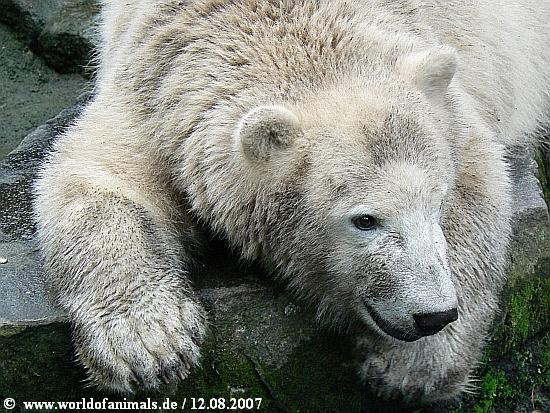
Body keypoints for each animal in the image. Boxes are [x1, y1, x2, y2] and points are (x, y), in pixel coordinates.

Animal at [33, 0, 550, 405]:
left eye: (436, 203)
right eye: (365, 220)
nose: (434, 315)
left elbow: (477, 179)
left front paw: (413, 368)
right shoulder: (158, 90)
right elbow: (98, 176)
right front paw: (147, 344)